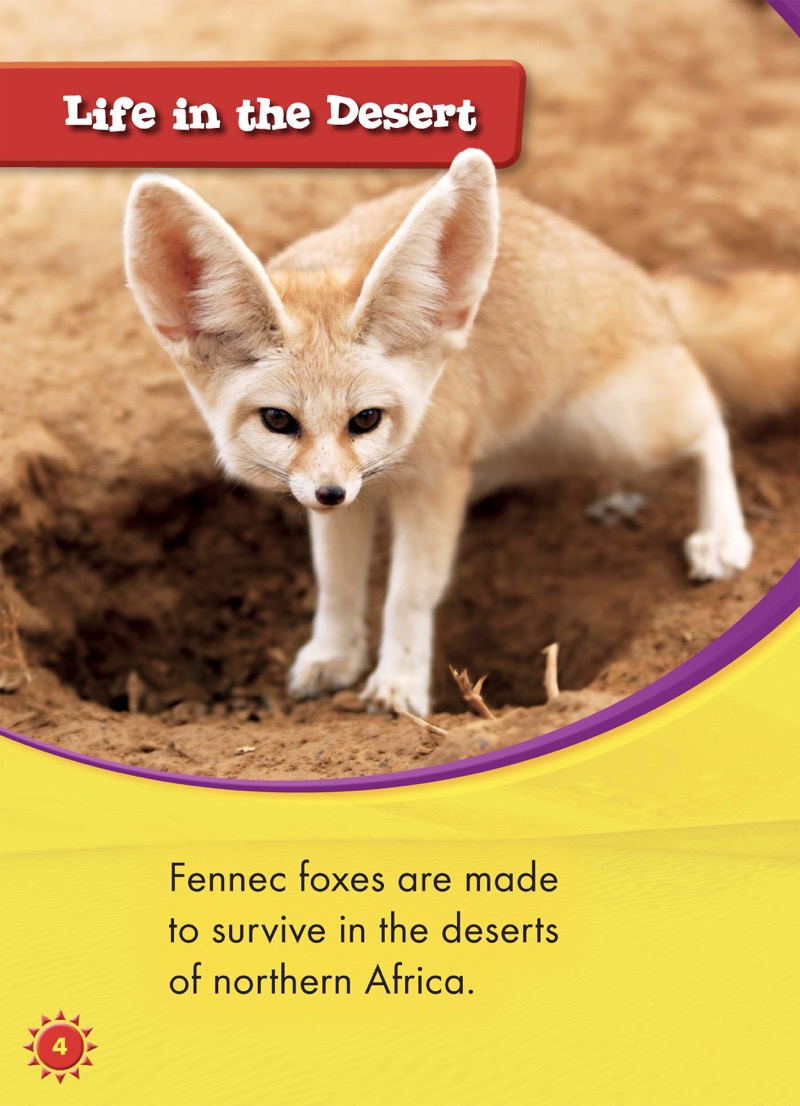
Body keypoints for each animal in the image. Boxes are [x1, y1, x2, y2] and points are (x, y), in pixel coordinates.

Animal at [123, 149, 797, 717]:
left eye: (366, 419)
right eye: (279, 421)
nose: (330, 494)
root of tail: (646, 284)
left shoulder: (436, 482)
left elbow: (408, 594)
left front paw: (398, 682)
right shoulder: (343, 498)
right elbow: (337, 584)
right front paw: (335, 654)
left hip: (622, 423)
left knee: (710, 419)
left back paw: (721, 534)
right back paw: (618, 493)